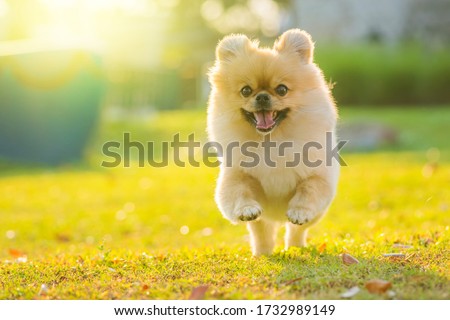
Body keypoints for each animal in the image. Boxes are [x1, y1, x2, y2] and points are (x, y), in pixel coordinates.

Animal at [206, 28, 340, 256]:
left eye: (282, 89)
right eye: (246, 90)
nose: (261, 97)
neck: (271, 141)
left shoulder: (318, 176)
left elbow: (309, 190)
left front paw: (299, 211)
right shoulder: (236, 175)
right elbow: (238, 192)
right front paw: (246, 208)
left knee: (296, 231)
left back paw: (295, 247)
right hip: (264, 220)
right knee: (262, 233)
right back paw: (262, 253)